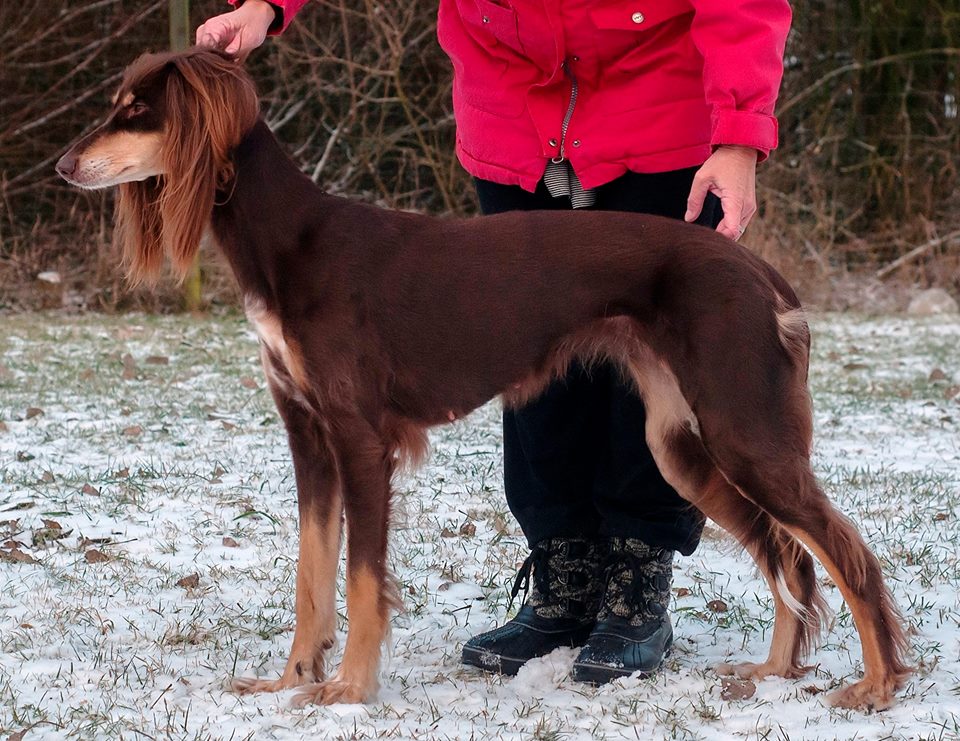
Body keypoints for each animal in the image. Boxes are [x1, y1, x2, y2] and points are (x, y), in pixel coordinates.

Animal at [56, 49, 912, 708]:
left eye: (135, 111)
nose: (64, 164)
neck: (293, 240)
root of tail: (755, 268)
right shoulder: (308, 435)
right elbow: (310, 572)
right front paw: (292, 676)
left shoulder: (360, 438)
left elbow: (361, 579)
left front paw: (350, 688)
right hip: (684, 444)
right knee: (790, 553)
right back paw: (774, 670)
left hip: (742, 428)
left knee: (847, 553)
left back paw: (876, 686)